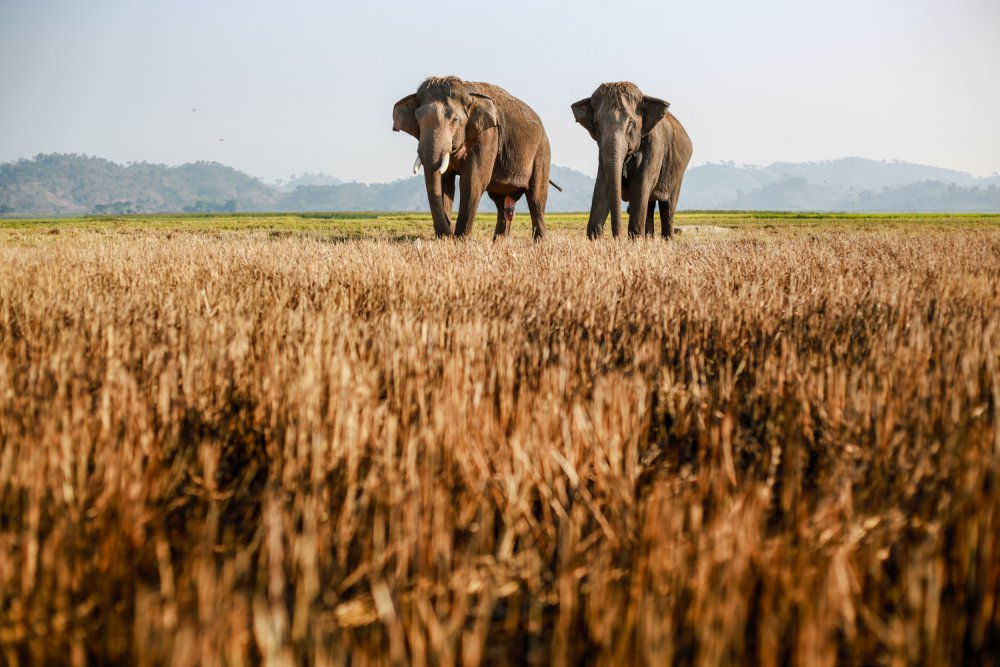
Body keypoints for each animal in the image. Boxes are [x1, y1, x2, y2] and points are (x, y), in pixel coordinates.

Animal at [392, 77, 556, 241]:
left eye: (455, 120)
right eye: (417, 119)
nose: (447, 235)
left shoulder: (487, 136)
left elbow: (472, 181)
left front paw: (460, 240)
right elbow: (445, 183)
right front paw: (445, 241)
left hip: (542, 152)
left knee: (536, 198)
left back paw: (540, 242)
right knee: (500, 201)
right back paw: (498, 242)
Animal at [576, 81, 692, 240]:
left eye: (631, 123)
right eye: (596, 123)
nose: (617, 239)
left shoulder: (654, 148)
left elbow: (640, 187)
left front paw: (635, 240)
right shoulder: (602, 153)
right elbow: (602, 186)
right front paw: (595, 238)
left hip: (677, 173)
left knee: (667, 206)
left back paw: (666, 240)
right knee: (649, 205)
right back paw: (649, 240)